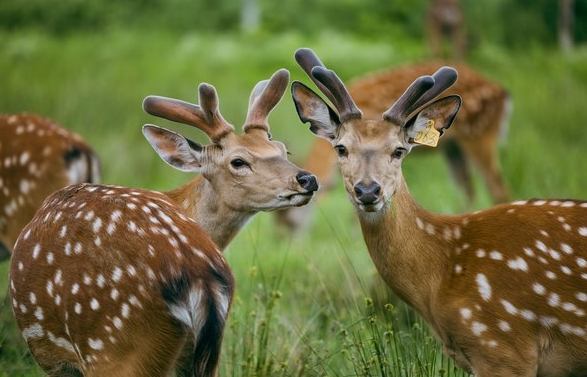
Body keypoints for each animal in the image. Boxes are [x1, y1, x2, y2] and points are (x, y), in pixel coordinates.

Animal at [276, 59, 510, 232]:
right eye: (341, 148)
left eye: (285, 214)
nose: (281, 238)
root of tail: (503, 93)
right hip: (454, 147)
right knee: (467, 187)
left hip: (479, 135)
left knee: (496, 186)